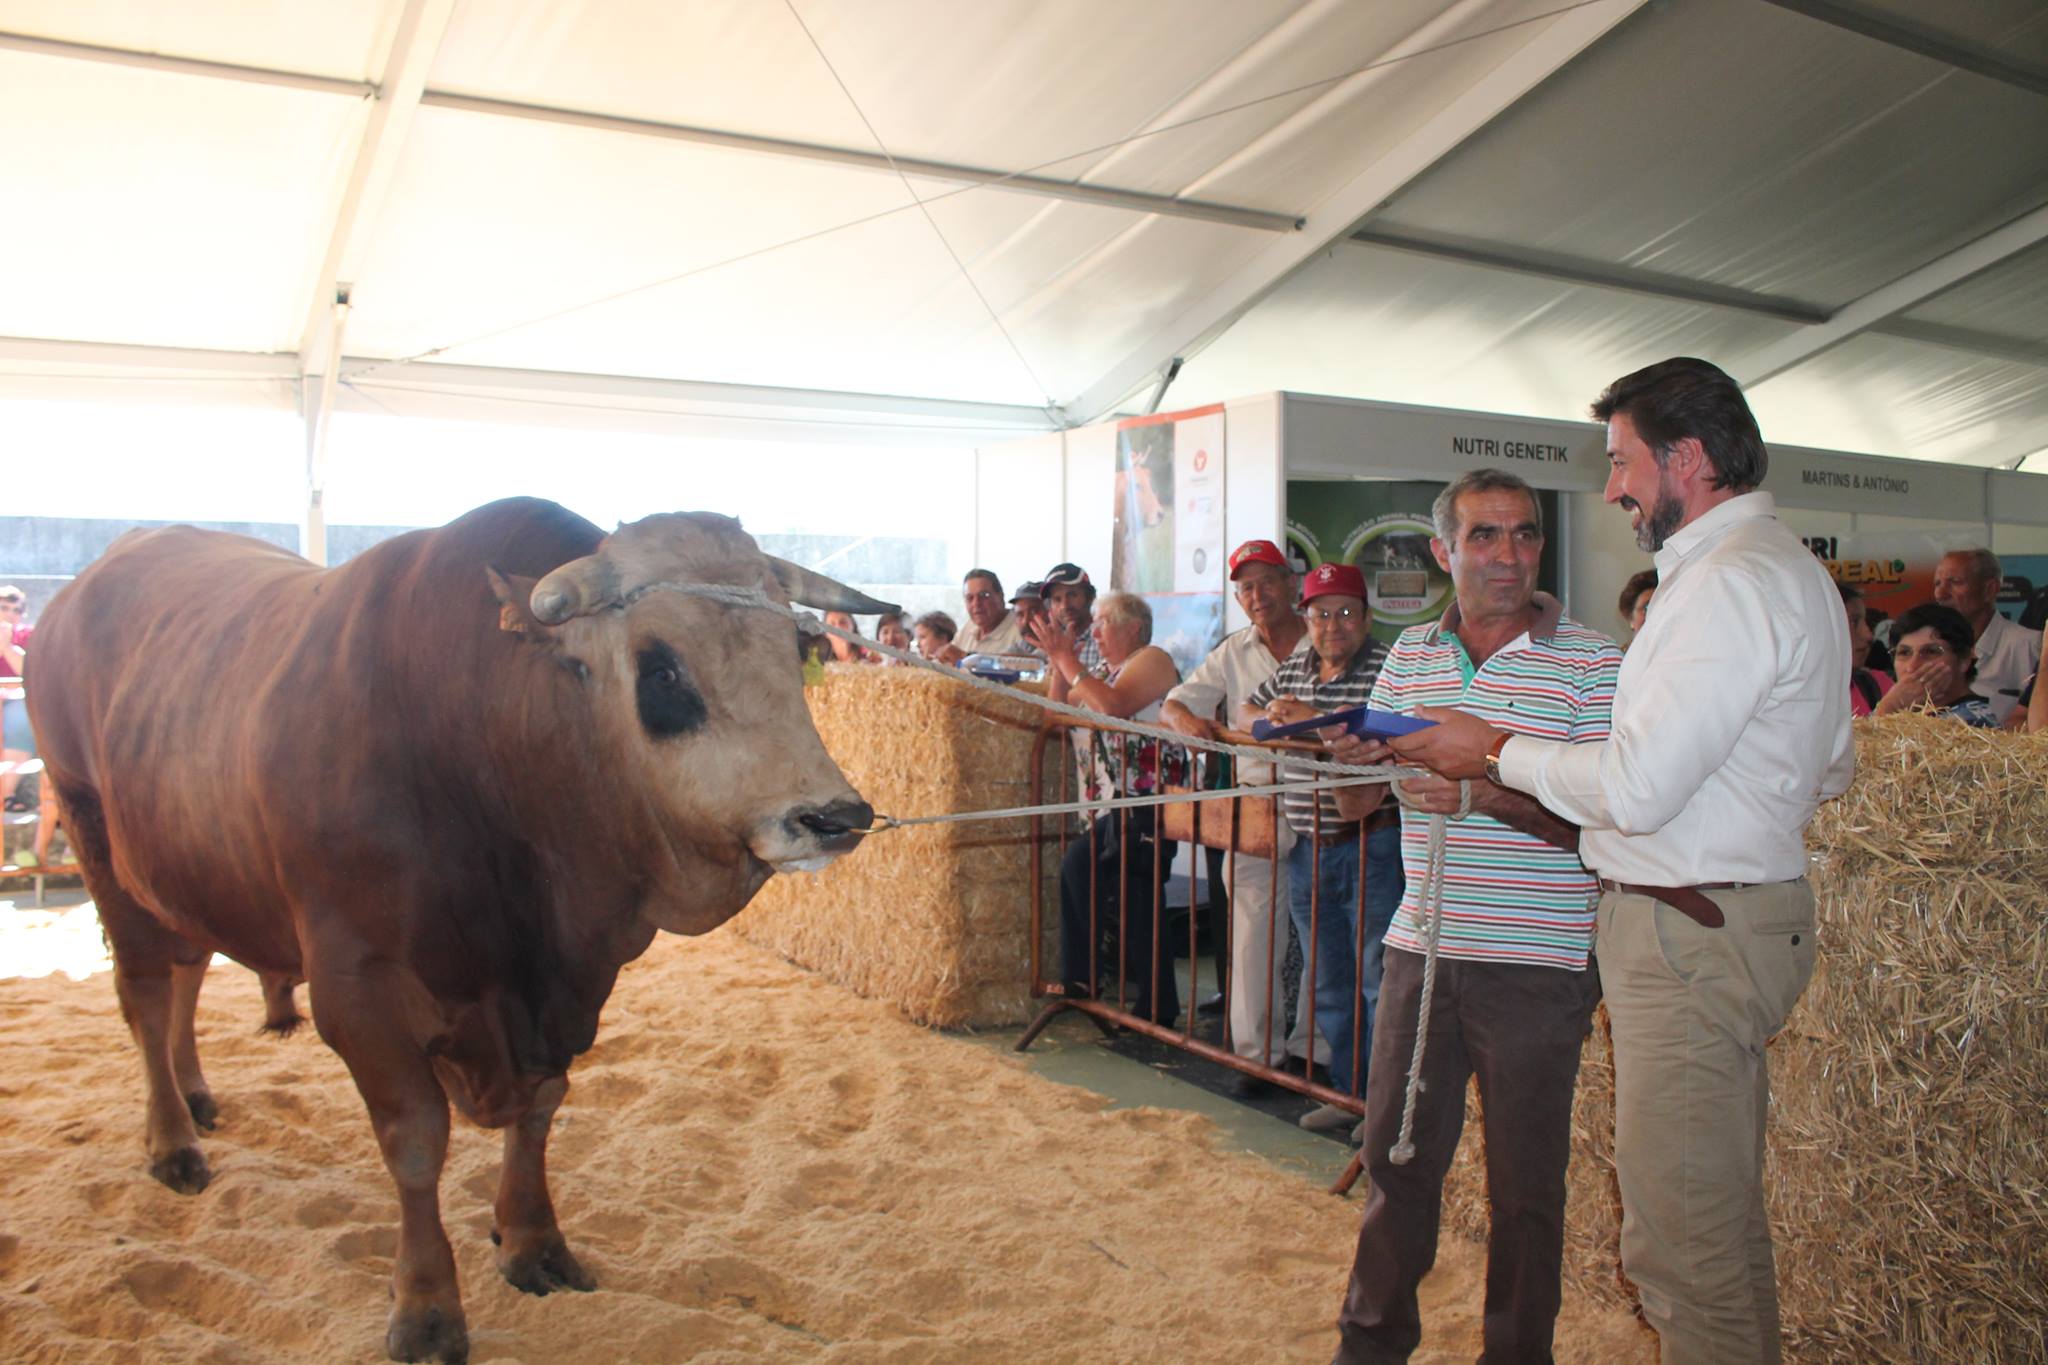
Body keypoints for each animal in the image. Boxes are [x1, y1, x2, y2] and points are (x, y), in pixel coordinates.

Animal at [25, 497, 892, 1364]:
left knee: (189, 969)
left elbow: (542, 1108)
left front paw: (533, 1240)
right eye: (661, 668)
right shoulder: (356, 988)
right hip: (102, 850)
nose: (834, 816)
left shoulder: (568, 990)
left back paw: (196, 1092)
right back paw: (172, 1138)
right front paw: (427, 1305)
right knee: (146, 994)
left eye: (795, 648)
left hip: (185, 872)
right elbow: (416, 1141)